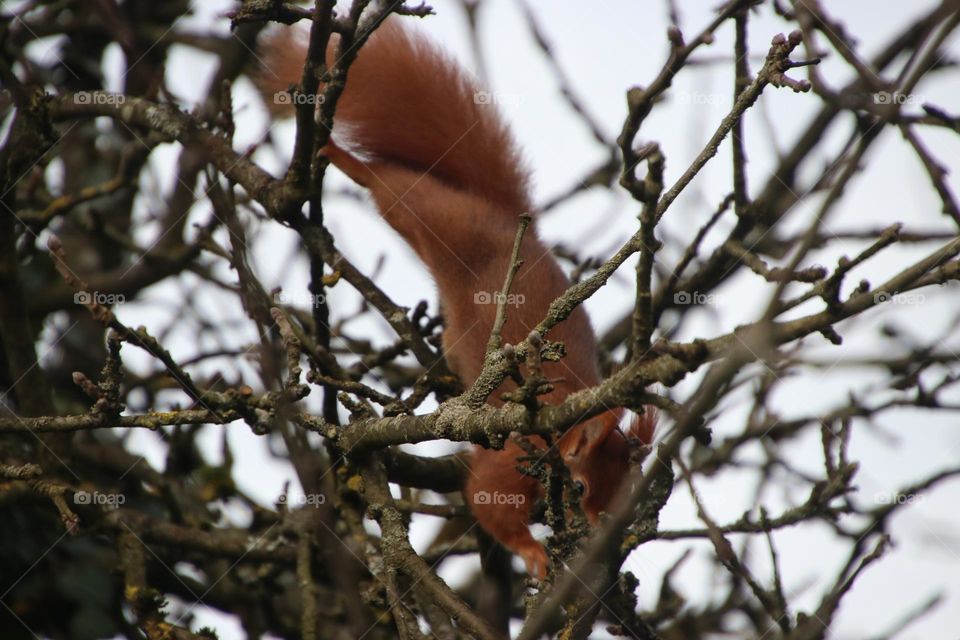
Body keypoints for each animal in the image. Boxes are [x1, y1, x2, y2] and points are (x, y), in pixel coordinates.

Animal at [258, 17, 656, 576]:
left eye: (621, 502)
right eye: (579, 487)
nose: (599, 536)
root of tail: (507, 220)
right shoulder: (508, 455)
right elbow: (488, 502)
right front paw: (534, 554)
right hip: (428, 213)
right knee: (390, 183)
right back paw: (339, 156)